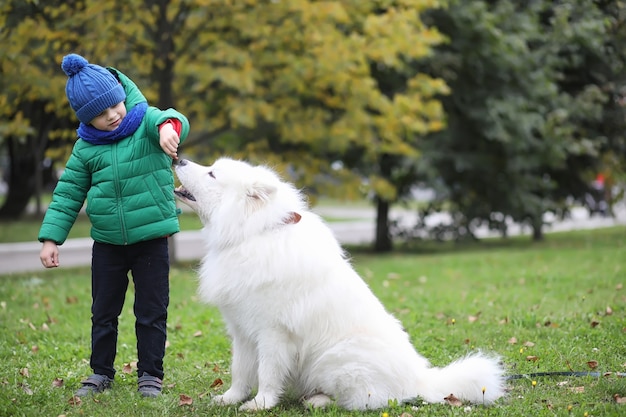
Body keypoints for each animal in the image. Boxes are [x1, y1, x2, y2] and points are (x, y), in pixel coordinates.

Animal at [173, 157, 504, 410]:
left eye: (212, 173)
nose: (179, 159)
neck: (254, 234)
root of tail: (420, 380)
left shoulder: (273, 334)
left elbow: (267, 373)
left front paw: (260, 404)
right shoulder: (242, 330)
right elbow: (240, 371)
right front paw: (230, 399)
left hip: (335, 360)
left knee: (360, 400)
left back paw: (316, 401)